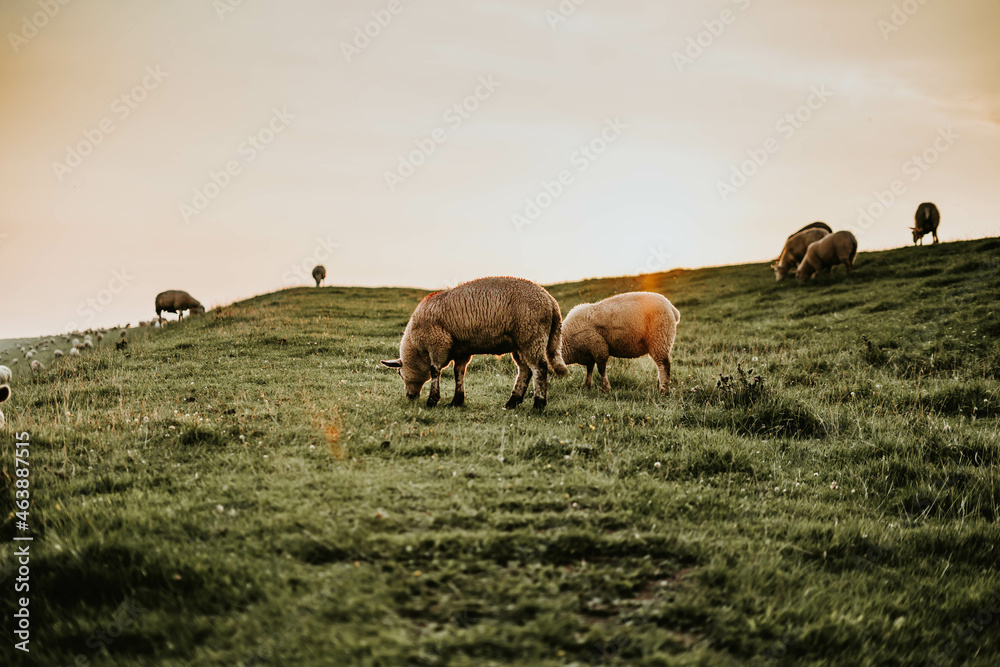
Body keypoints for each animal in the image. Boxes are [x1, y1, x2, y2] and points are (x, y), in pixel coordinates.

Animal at [380, 277, 568, 410]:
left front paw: (432, 400)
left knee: (539, 368)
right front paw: (457, 401)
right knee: (525, 370)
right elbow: (459, 372)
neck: (417, 348)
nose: (409, 397)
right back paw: (512, 402)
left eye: (399, 373)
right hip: (521, 342)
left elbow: (435, 371)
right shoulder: (461, 350)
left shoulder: (437, 344)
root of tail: (551, 301)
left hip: (531, 336)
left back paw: (538, 404)